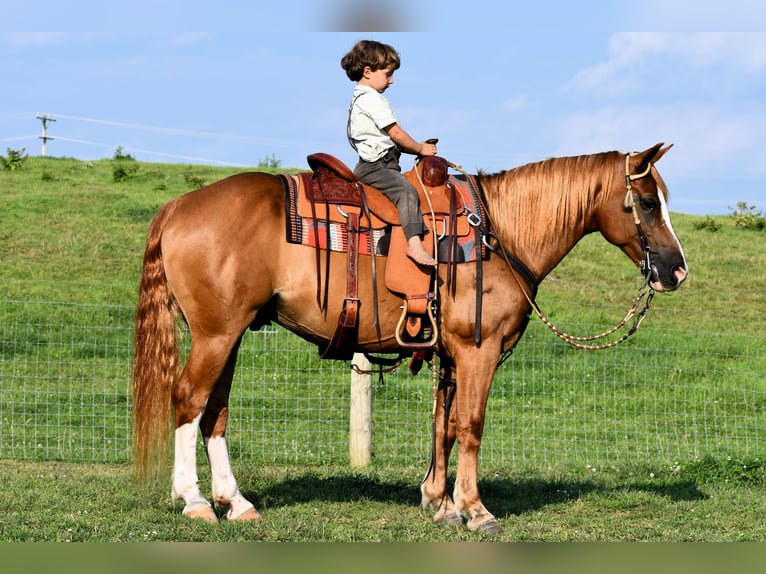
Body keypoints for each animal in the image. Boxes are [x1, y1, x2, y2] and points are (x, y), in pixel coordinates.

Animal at [132, 143, 688, 536]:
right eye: (645, 202)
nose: (677, 270)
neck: (498, 234)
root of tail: (177, 206)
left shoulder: (452, 353)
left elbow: (444, 424)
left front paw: (439, 502)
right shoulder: (479, 350)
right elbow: (471, 425)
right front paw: (474, 509)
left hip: (229, 335)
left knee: (215, 412)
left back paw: (237, 502)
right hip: (216, 334)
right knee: (189, 399)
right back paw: (195, 502)